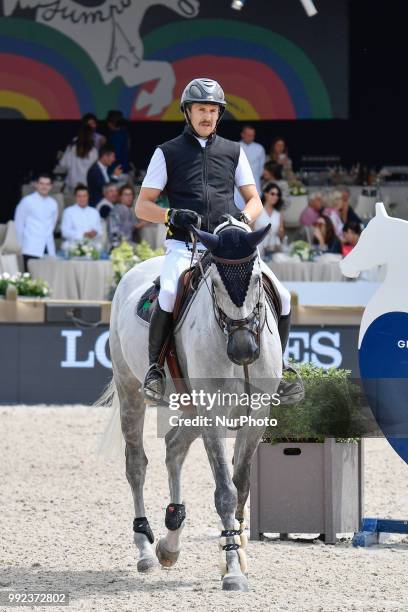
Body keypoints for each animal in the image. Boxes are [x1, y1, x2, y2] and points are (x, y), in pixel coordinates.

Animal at [100, 218, 282, 592]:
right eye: (215, 283)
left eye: (258, 278)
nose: (244, 350)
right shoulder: (212, 413)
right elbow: (225, 491)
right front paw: (232, 569)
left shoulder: (257, 416)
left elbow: (242, 487)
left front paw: (237, 554)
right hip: (131, 391)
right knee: (136, 464)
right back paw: (145, 549)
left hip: (190, 408)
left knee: (174, 447)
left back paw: (170, 541)